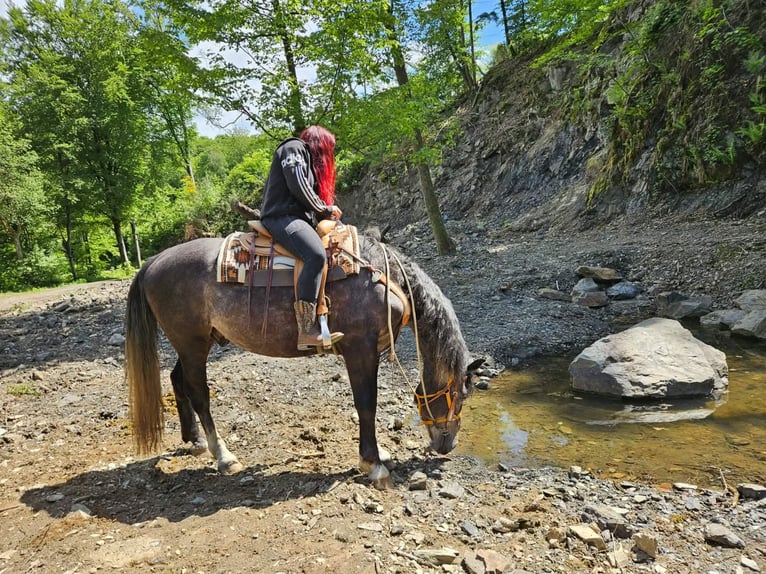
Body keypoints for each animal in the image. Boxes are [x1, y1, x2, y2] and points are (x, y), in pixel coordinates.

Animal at [124, 229, 482, 489]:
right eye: (462, 394)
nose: (448, 445)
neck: (383, 278)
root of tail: (152, 262)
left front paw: (380, 453)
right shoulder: (360, 349)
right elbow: (366, 404)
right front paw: (373, 463)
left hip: (195, 343)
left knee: (177, 379)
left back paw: (195, 440)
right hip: (192, 344)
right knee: (199, 394)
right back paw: (223, 456)